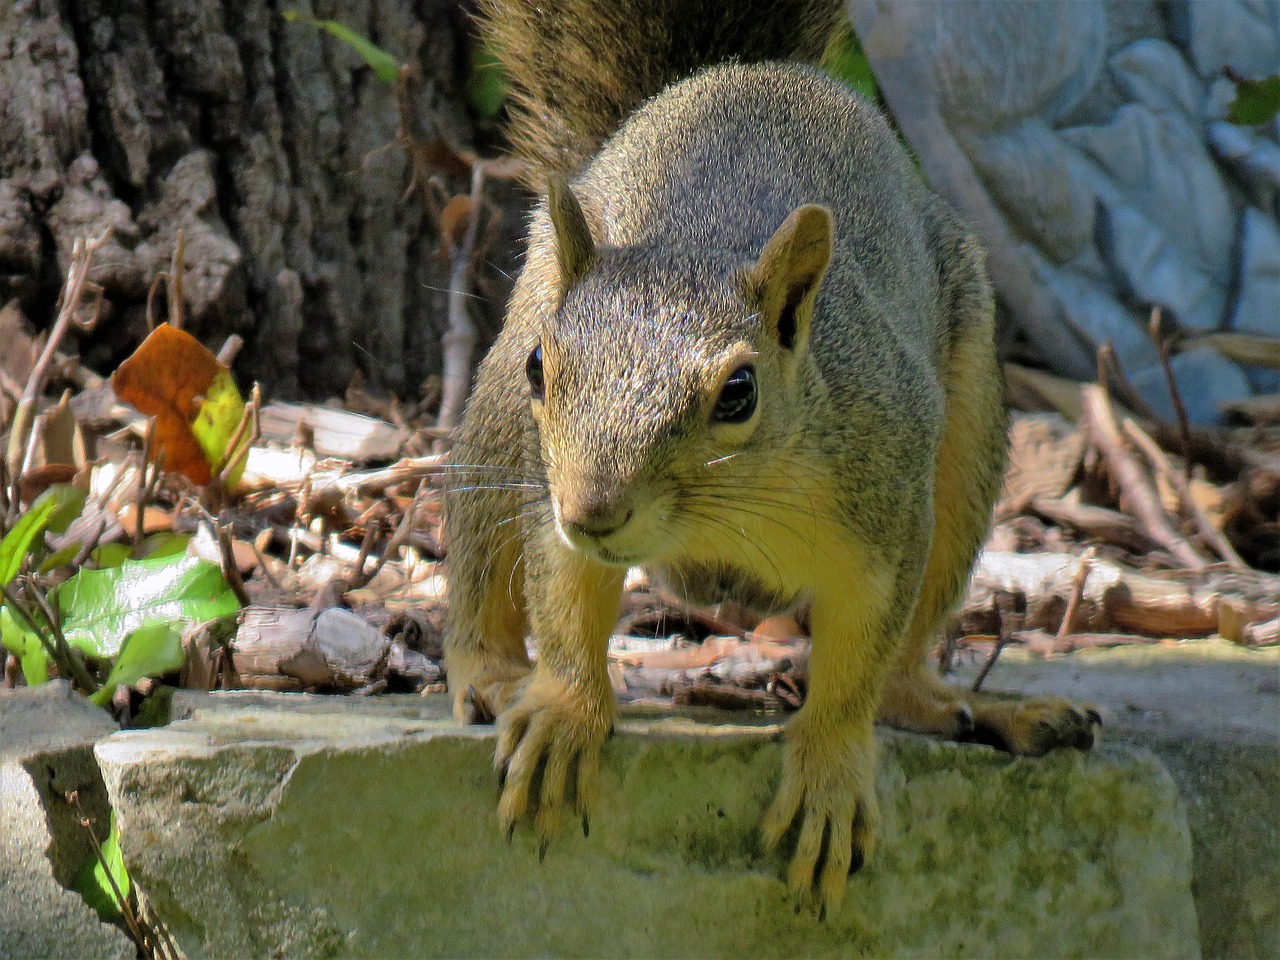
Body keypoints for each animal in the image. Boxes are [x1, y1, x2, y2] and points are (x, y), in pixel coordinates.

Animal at [442, 0, 1100, 916]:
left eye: (740, 393)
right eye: (547, 366)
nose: (595, 512)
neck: (730, 511)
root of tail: (721, 76)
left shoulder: (887, 493)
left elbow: (860, 656)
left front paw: (828, 769)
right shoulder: (549, 494)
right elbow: (565, 593)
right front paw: (566, 713)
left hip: (965, 438)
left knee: (904, 662)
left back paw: (972, 708)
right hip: (499, 422)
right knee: (478, 558)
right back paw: (494, 673)